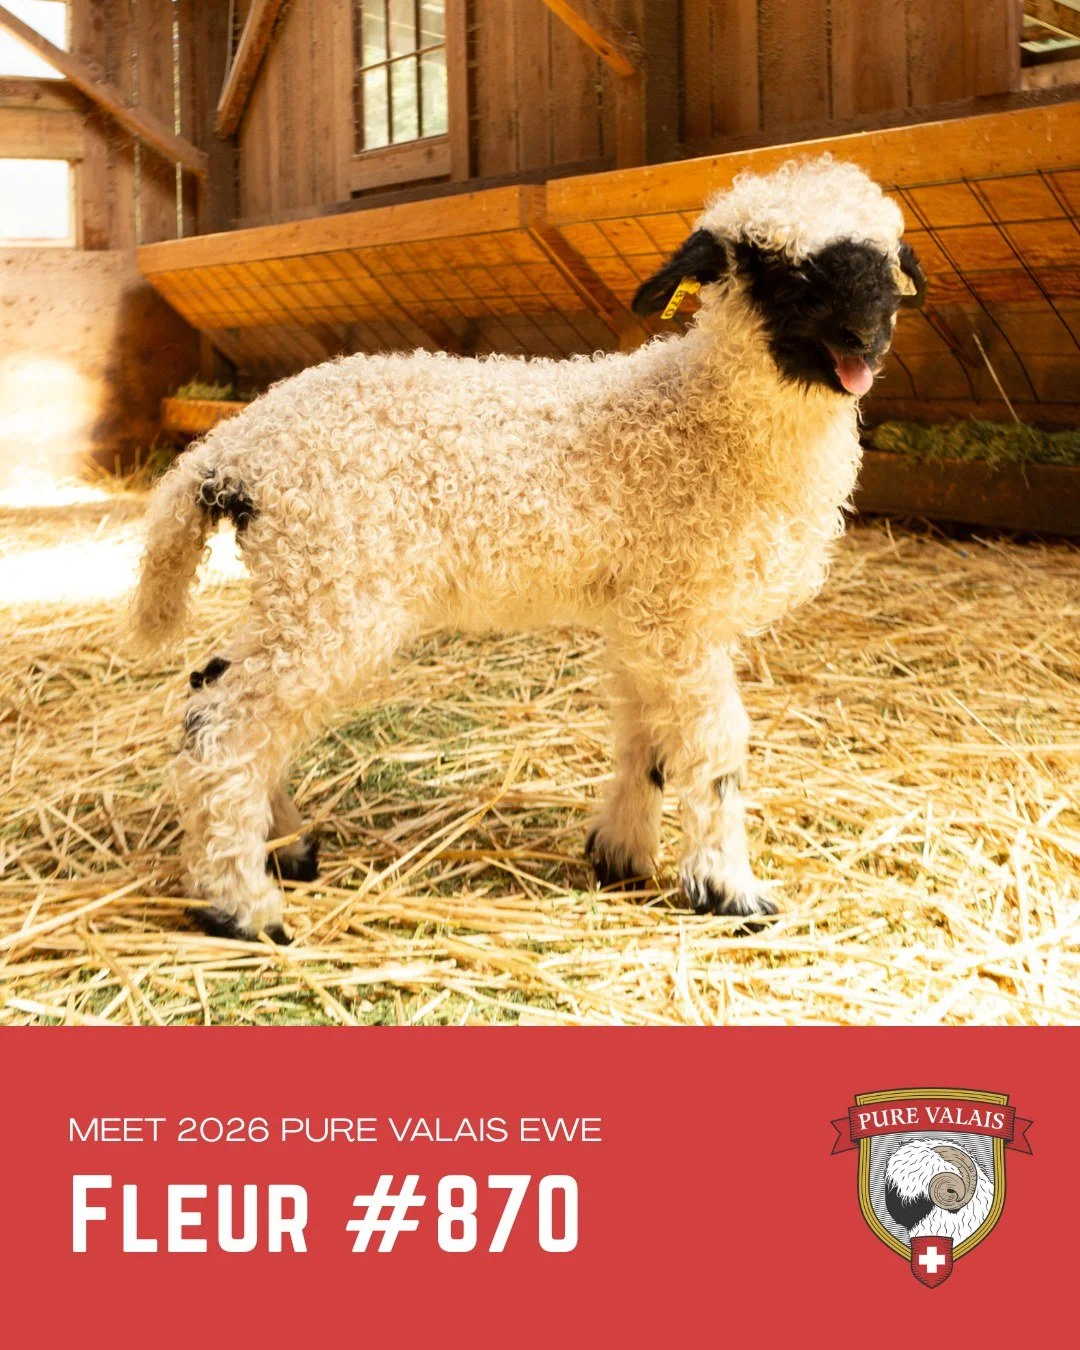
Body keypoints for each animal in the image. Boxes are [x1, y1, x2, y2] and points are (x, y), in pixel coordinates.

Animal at [132, 154, 926, 941]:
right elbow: (714, 746)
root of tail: (229, 453)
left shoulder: (645, 615)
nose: (866, 337)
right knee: (227, 724)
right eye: (774, 269)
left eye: (889, 264)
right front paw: (729, 889)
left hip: (298, 586)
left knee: (210, 690)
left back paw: (285, 846)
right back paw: (238, 903)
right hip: (332, 586)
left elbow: (647, 737)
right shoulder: (681, 612)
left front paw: (621, 855)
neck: (703, 422)